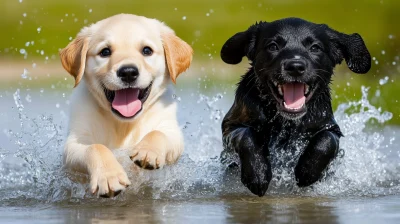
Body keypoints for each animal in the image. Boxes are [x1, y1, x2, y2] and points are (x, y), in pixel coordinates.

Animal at [59, 14, 194, 197]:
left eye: (147, 50)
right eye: (105, 52)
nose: (128, 72)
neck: (124, 124)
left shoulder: (171, 131)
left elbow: (158, 133)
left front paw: (147, 151)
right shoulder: (75, 142)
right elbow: (95, 147)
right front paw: (109, 176)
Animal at [220, 17, 370, 196]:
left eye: (315, 48)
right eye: (273, 46)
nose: (295, 67)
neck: (285, 121)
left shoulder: (330, 127)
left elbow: (326, 140)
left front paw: (307, 172)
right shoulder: (230, 125)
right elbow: (246, 136)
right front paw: (258, 174)